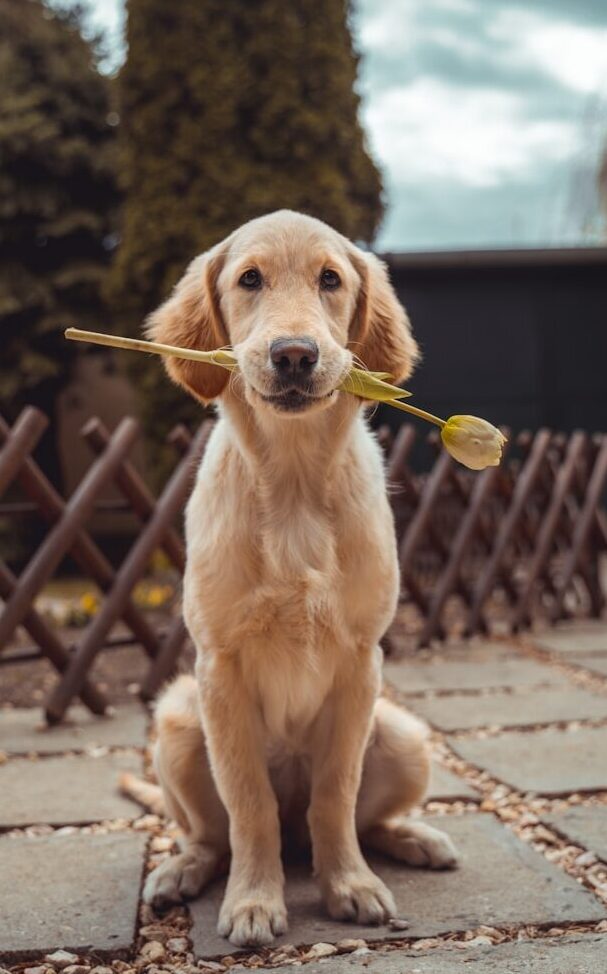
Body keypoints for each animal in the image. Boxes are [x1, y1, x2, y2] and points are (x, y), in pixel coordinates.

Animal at [134, 212, 456, 944]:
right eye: (249, 279)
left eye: (330, 280)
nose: (293, 356)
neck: (294, 481)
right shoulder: (219, 667)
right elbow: (247, 801)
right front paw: (255, 901)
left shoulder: (361, 662)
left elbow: (336, 793)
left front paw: (349, 885)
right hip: (177, 720)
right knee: (213, 835)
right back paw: (180, 872)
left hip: (403, 734)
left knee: (359, 818)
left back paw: (413, 839)